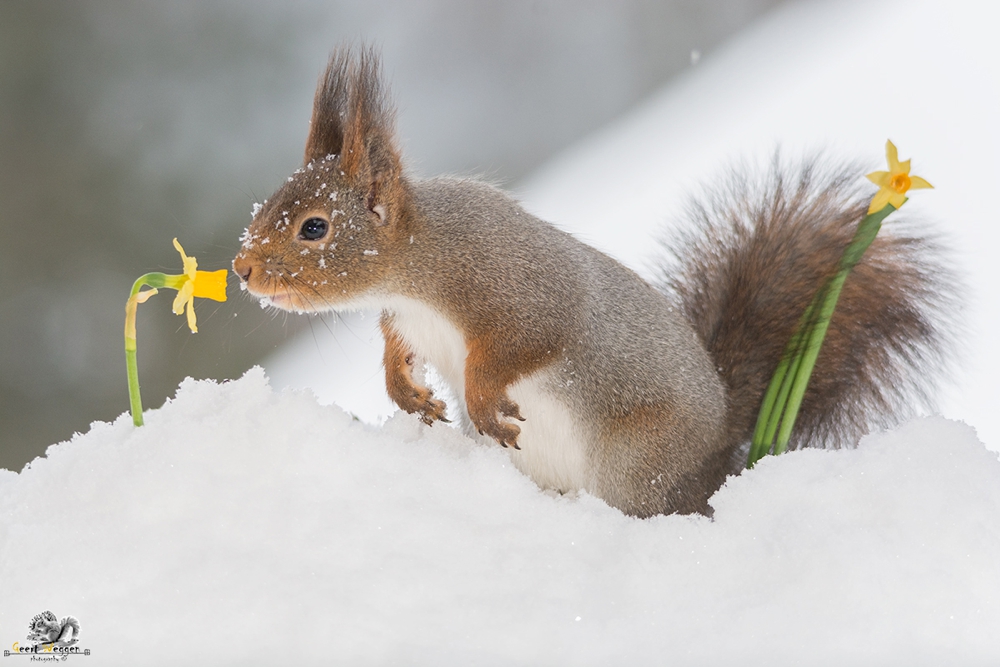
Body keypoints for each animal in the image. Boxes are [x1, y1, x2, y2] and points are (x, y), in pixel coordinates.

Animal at [232, 47, 952, 520]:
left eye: (315, 228)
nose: (242, 269)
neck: (418, 266)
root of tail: (720, 453)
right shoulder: (406, 319)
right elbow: (395, 349)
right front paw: (407, 392)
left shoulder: (520, 290)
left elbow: (524, 344)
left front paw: (483, 400)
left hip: (636, 463)